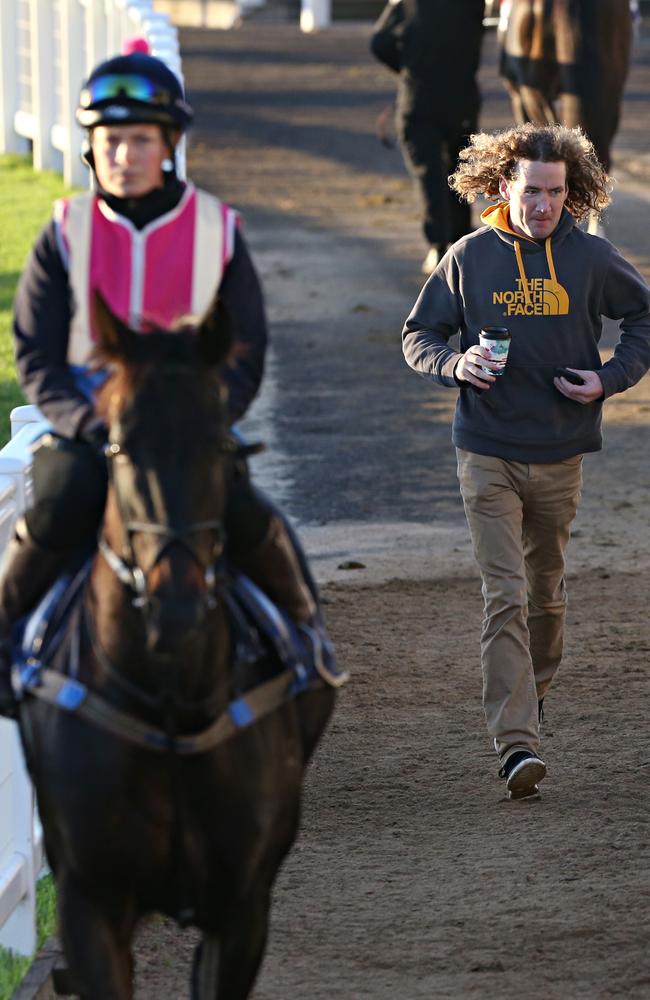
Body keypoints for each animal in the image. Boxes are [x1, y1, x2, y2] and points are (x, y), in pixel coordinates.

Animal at [18, 296, 336, 1000]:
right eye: (118, 444)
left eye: (220, 443)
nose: (178, 608)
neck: (170, 706)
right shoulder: (90, 904)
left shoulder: (242, 906)